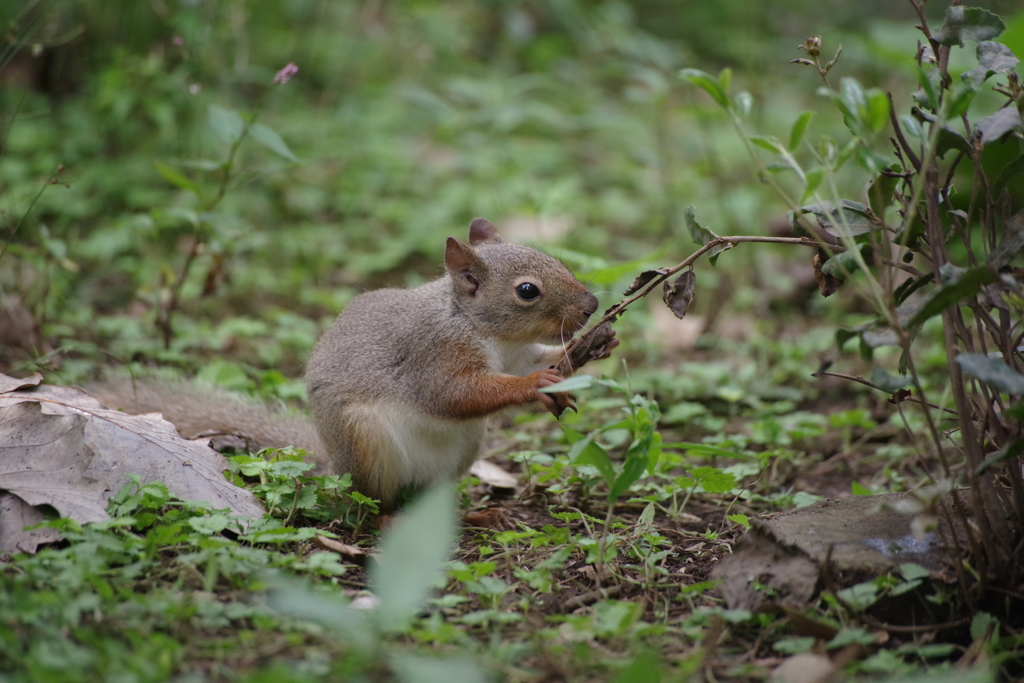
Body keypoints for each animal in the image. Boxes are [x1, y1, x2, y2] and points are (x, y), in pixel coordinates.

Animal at [88, 219, 614, 511]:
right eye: (527, 291)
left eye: (555, 260)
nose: (592, 305)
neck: (487, 333)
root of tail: (335, 465)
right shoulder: (434, 354)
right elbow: (455, 395)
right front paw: (537, 384)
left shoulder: (518, 351)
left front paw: (590, 348)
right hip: (365, 440)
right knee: (374, 503)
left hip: (463, 451)